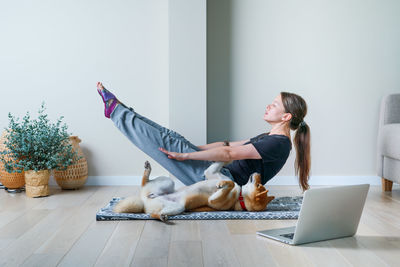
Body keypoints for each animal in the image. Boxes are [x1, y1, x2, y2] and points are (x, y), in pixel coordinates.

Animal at [114, 161, 274, 222]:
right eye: (260, 184)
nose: (259, 172)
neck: (240, 196)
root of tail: (144, 201)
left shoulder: (213, 200)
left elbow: (229, 183)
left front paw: (223, 184)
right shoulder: (211, 172)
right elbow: (221, 167)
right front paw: (226, 148)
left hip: (177, 206)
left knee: (153, 213)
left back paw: (161, 217)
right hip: (168, 183)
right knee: (145, 183)